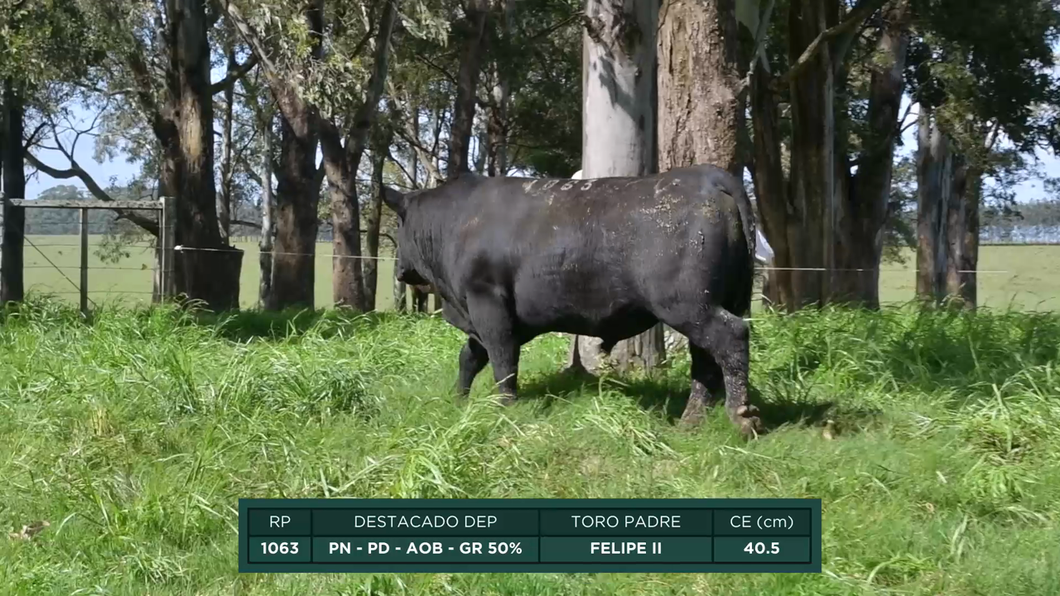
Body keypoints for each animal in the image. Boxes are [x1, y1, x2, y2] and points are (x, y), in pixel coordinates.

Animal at [385, 164, 767, 434]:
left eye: (400, 227)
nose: (400, 271)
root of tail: (707, 175)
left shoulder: (488, 304)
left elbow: (503, 360)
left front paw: (505, 408)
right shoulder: (485, 314)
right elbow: (470, 357)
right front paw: (459, 399)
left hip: (688, 304)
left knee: (730, 338)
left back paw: (741, 417)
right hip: (711, 303)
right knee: (705, 359)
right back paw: (690, 421)